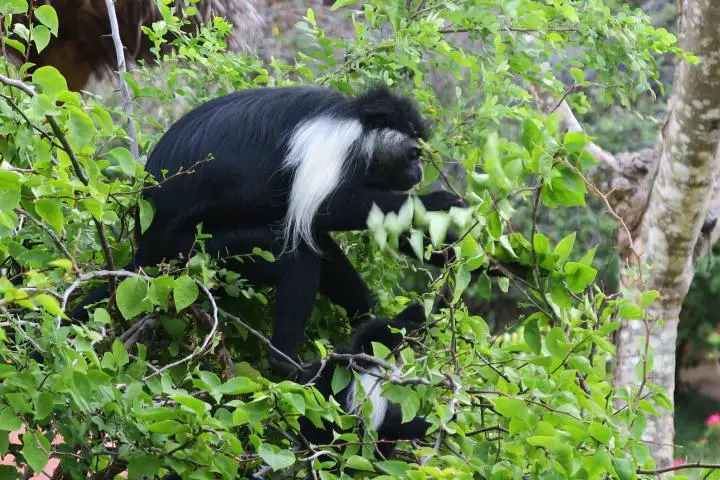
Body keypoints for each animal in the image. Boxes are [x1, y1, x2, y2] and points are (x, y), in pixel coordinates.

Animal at [73, 85, 464, 368]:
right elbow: (330, 208)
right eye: (414, 154)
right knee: (299, 256)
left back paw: (370, 325)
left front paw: (455, 255)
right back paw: (290, 369)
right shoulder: (333, 148)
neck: (360, 127)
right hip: (199, 248)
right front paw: (440, 202)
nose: (419, 173)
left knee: (320, 248)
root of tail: (146, 243)